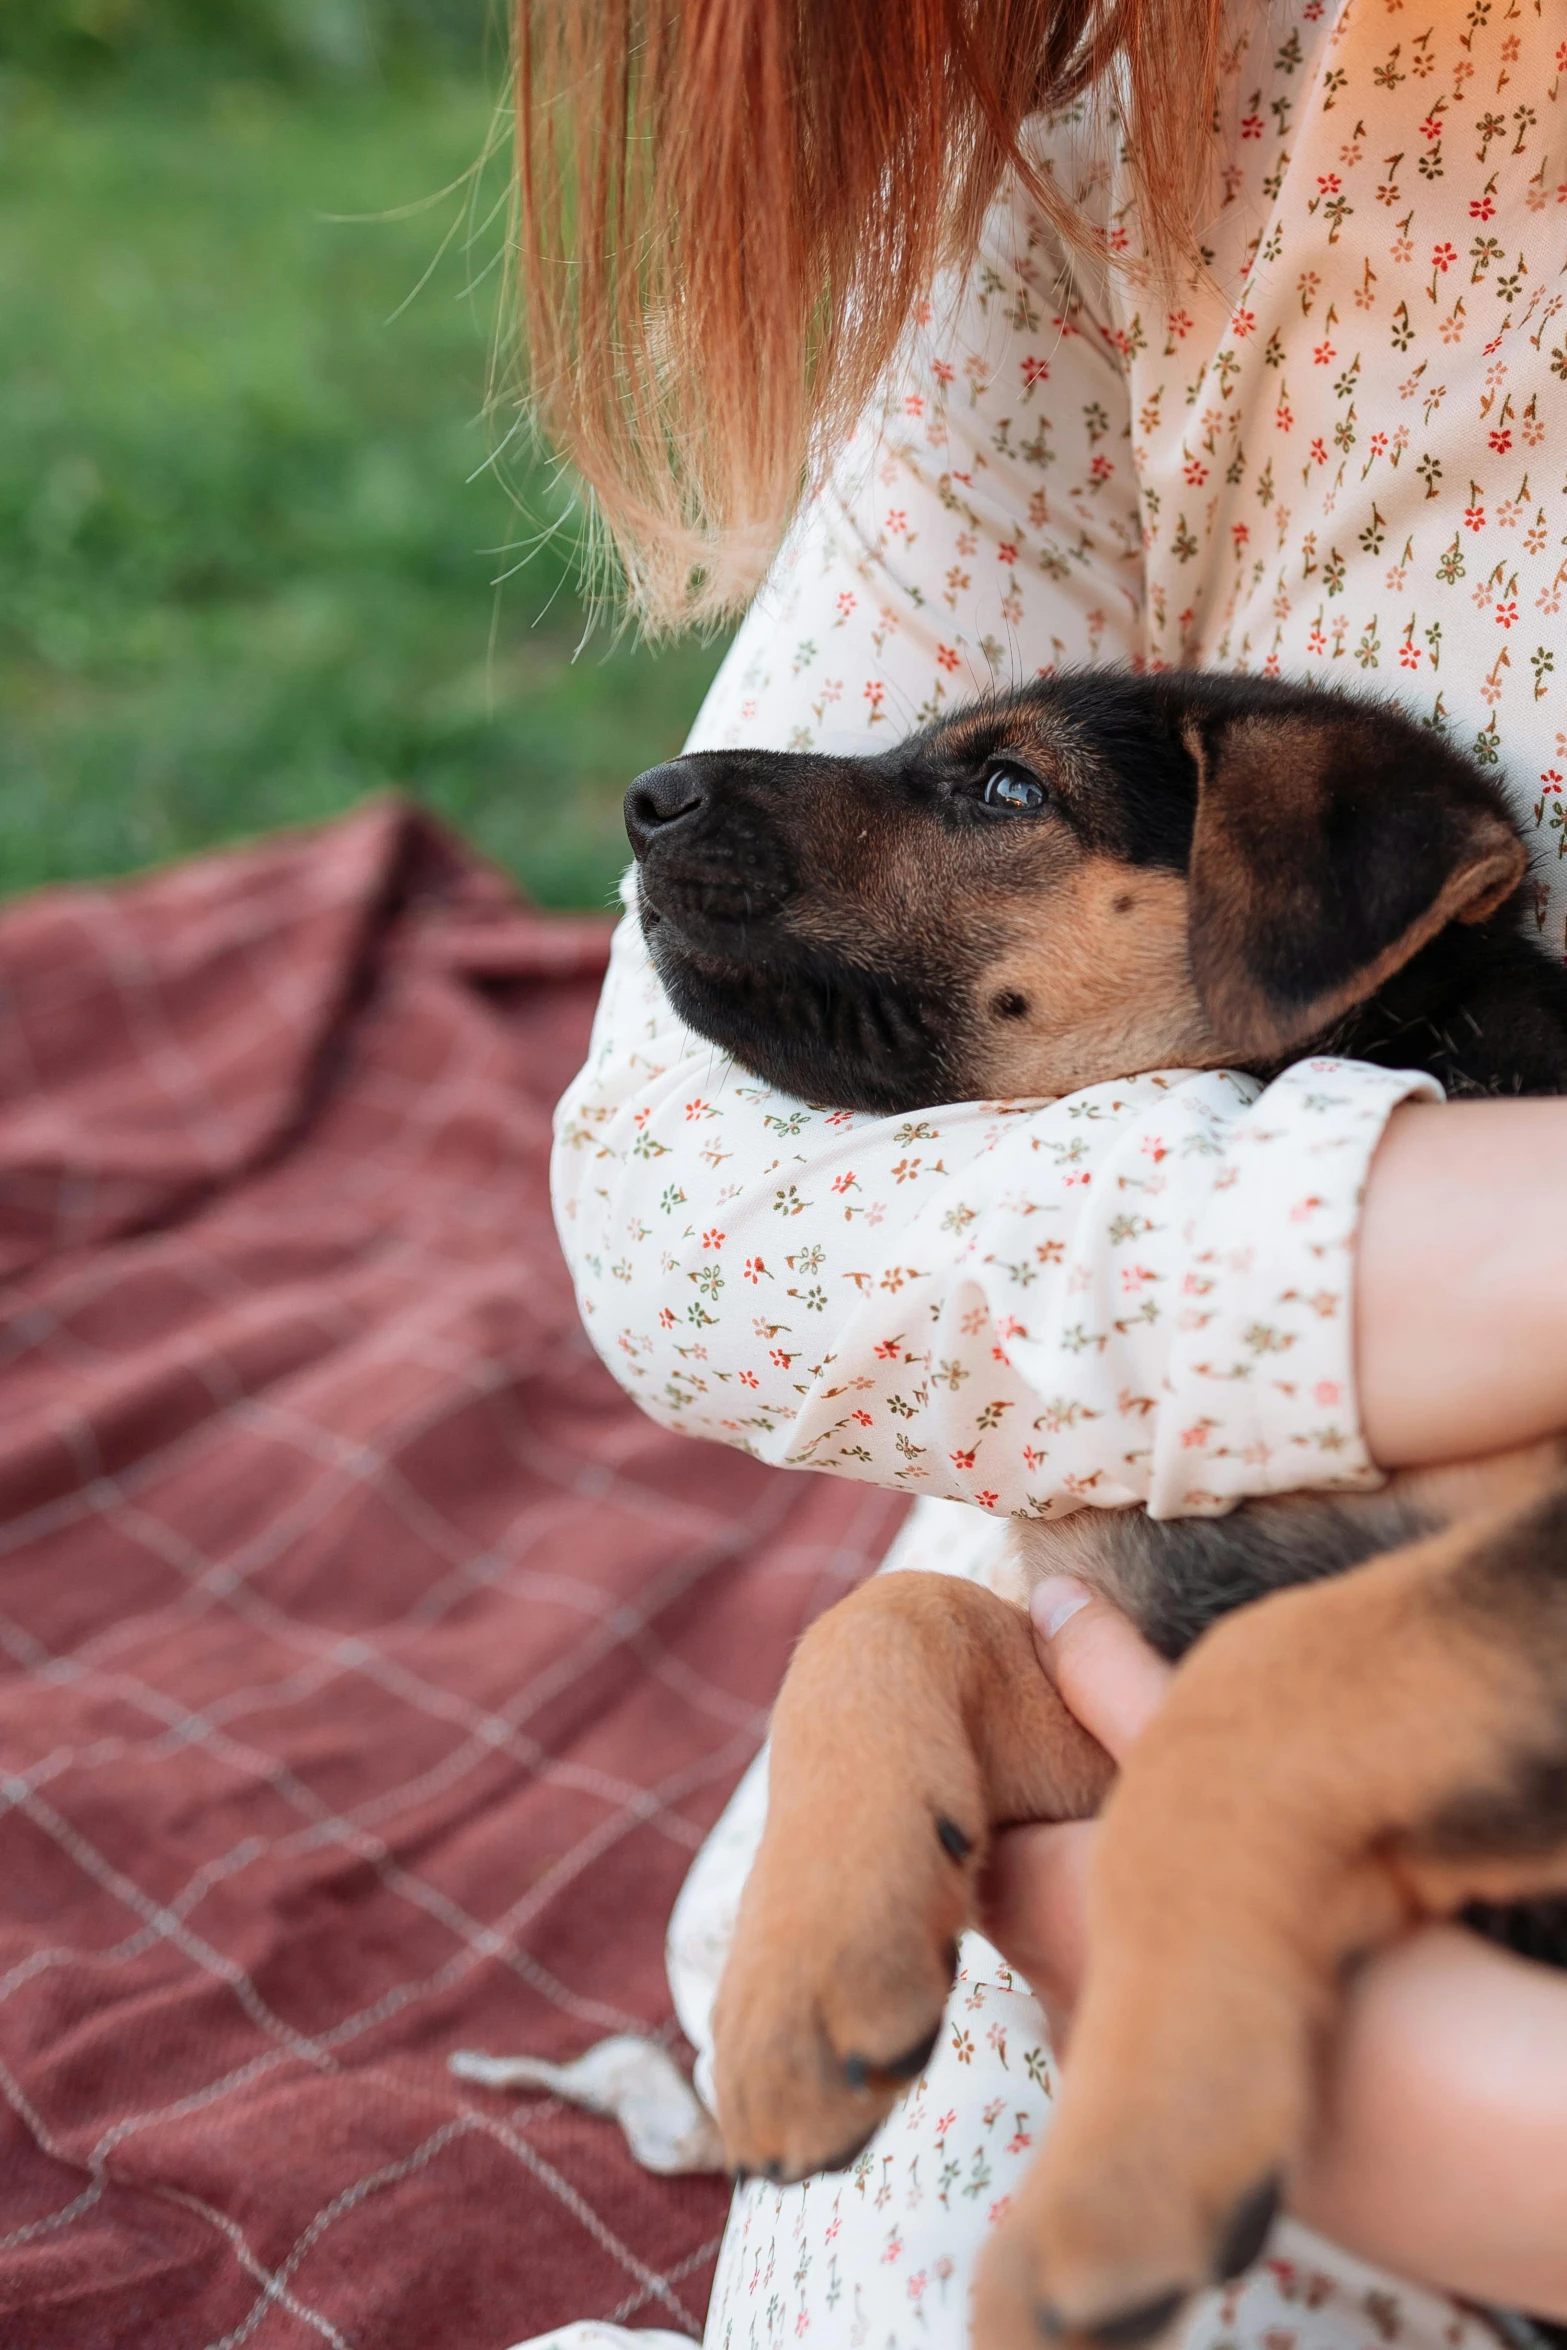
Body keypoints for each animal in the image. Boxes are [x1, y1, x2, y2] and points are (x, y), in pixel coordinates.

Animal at [629, 676, 1567, 2350]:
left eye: (1008, 788)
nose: (645, 796)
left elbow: (1260, 1698)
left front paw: (1113, 2185)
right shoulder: (1120, 1648)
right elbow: (889, 1614)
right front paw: (800, 1987)